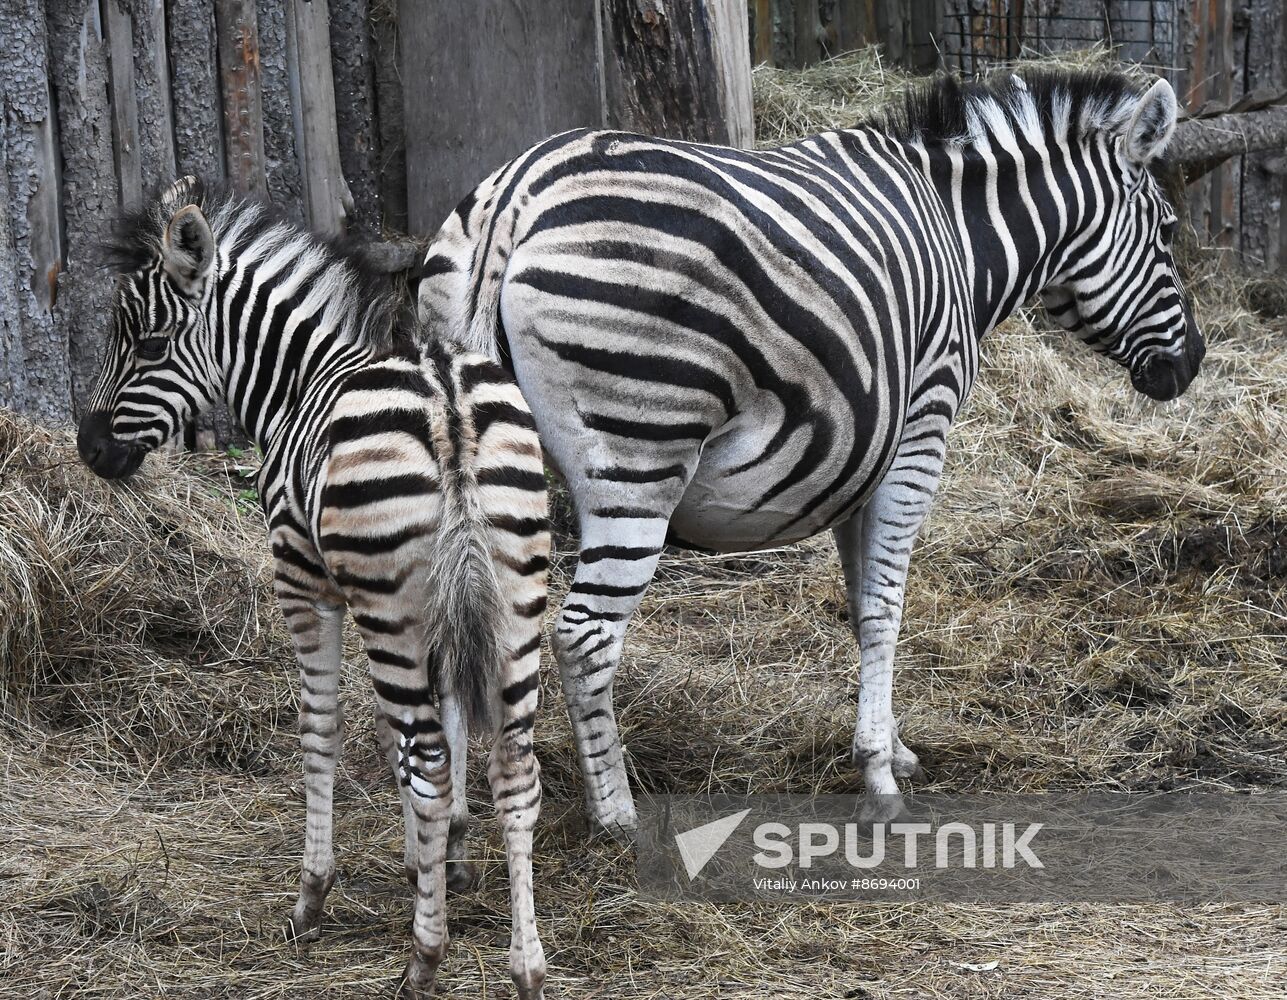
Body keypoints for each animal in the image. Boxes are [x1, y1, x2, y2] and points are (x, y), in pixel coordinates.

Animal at [75, 178, 548, 998]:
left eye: (149, 346)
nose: (88, 448)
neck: (297, 381)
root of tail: (448, 404)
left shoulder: (305, 582)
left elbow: (321, 730)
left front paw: (315, 892)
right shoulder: (439, 612)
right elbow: (436, 726)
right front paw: (439, 859)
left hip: (391, 609)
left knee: (428, 762)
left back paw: (423, 960)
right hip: (512, 599)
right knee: (514, 766)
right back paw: (526, 966)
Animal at [419, 72, 1204, 833]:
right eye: (1167, 233)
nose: (1192, 364)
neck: (960, 236)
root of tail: (516, 198)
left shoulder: (861, 458)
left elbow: (860, 602)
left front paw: (894, 747)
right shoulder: (921, 428)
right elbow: (885, 605)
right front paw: (879, 779)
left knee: (450, 626)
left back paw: (449, 815)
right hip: (639, 454)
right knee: (583, 636)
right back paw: (615, 815)